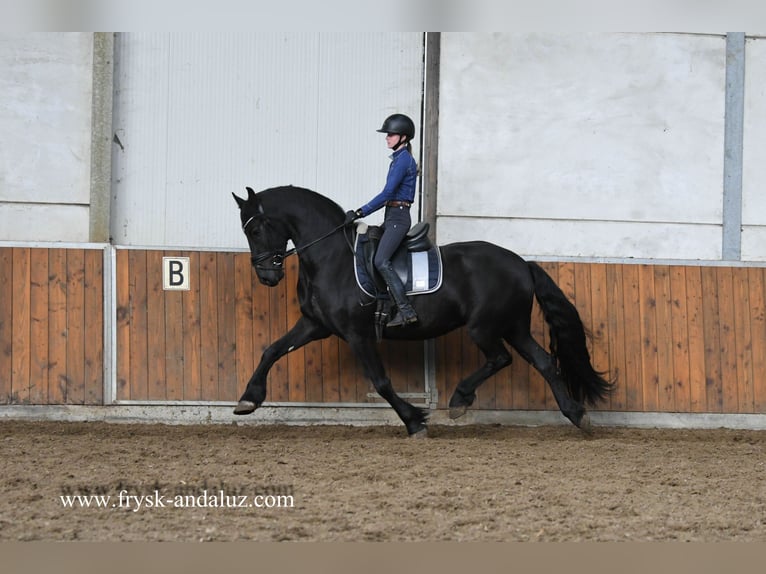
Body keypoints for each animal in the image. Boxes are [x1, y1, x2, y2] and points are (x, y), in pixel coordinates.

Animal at [231, 187, 616, 438]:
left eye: (256, 228)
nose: (267, 276)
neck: (331, 258)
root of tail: (522, 263)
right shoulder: (315, 324)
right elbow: (271, 350)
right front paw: (248, 399)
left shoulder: (357, 334)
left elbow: (381, 381)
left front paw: (414, 421)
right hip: (514, 327)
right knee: (544, 362)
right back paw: (576, 415)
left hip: (484, 327)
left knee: (500, 359)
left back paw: (460, 399)